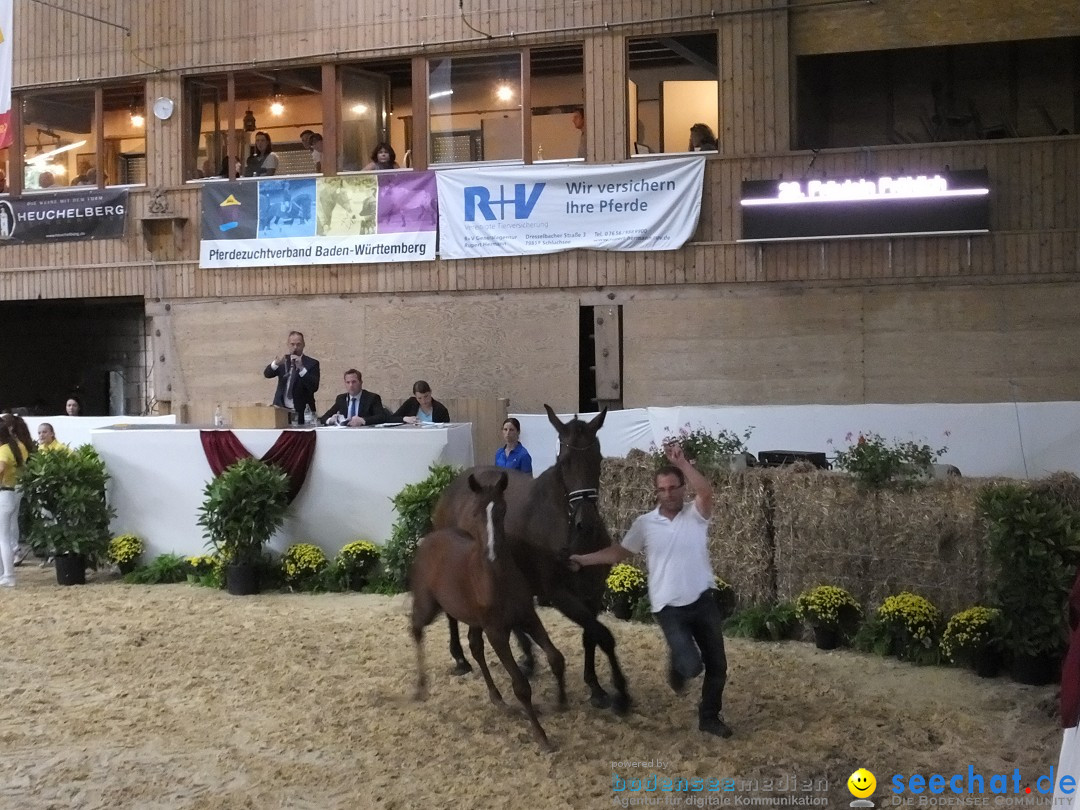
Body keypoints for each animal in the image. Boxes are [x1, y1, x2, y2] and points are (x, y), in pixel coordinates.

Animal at [408, 473, 570, 751]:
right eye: (475, 512)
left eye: (502, 509)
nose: (493, 552)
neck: (496, 576)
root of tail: (428, 538)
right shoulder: (497, 632)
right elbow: (521, 686)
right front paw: (542, 737)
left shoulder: (528, 617)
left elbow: (555, 657)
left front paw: (560, 702)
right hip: (430, 605)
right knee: (416, 627)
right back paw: (421, 687)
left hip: (474, 619)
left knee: (474, 646)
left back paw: (496, 698)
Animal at [432, 408, 630, 712]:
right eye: (564, 461)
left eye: (597, 458)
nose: (586, 523)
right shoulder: (558, 594)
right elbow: (603, 635)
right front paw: (620, 690)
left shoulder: (593, 593)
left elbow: (592, 636)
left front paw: (596, 686)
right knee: (452, 613)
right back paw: (461, 658)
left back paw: (526, 656)